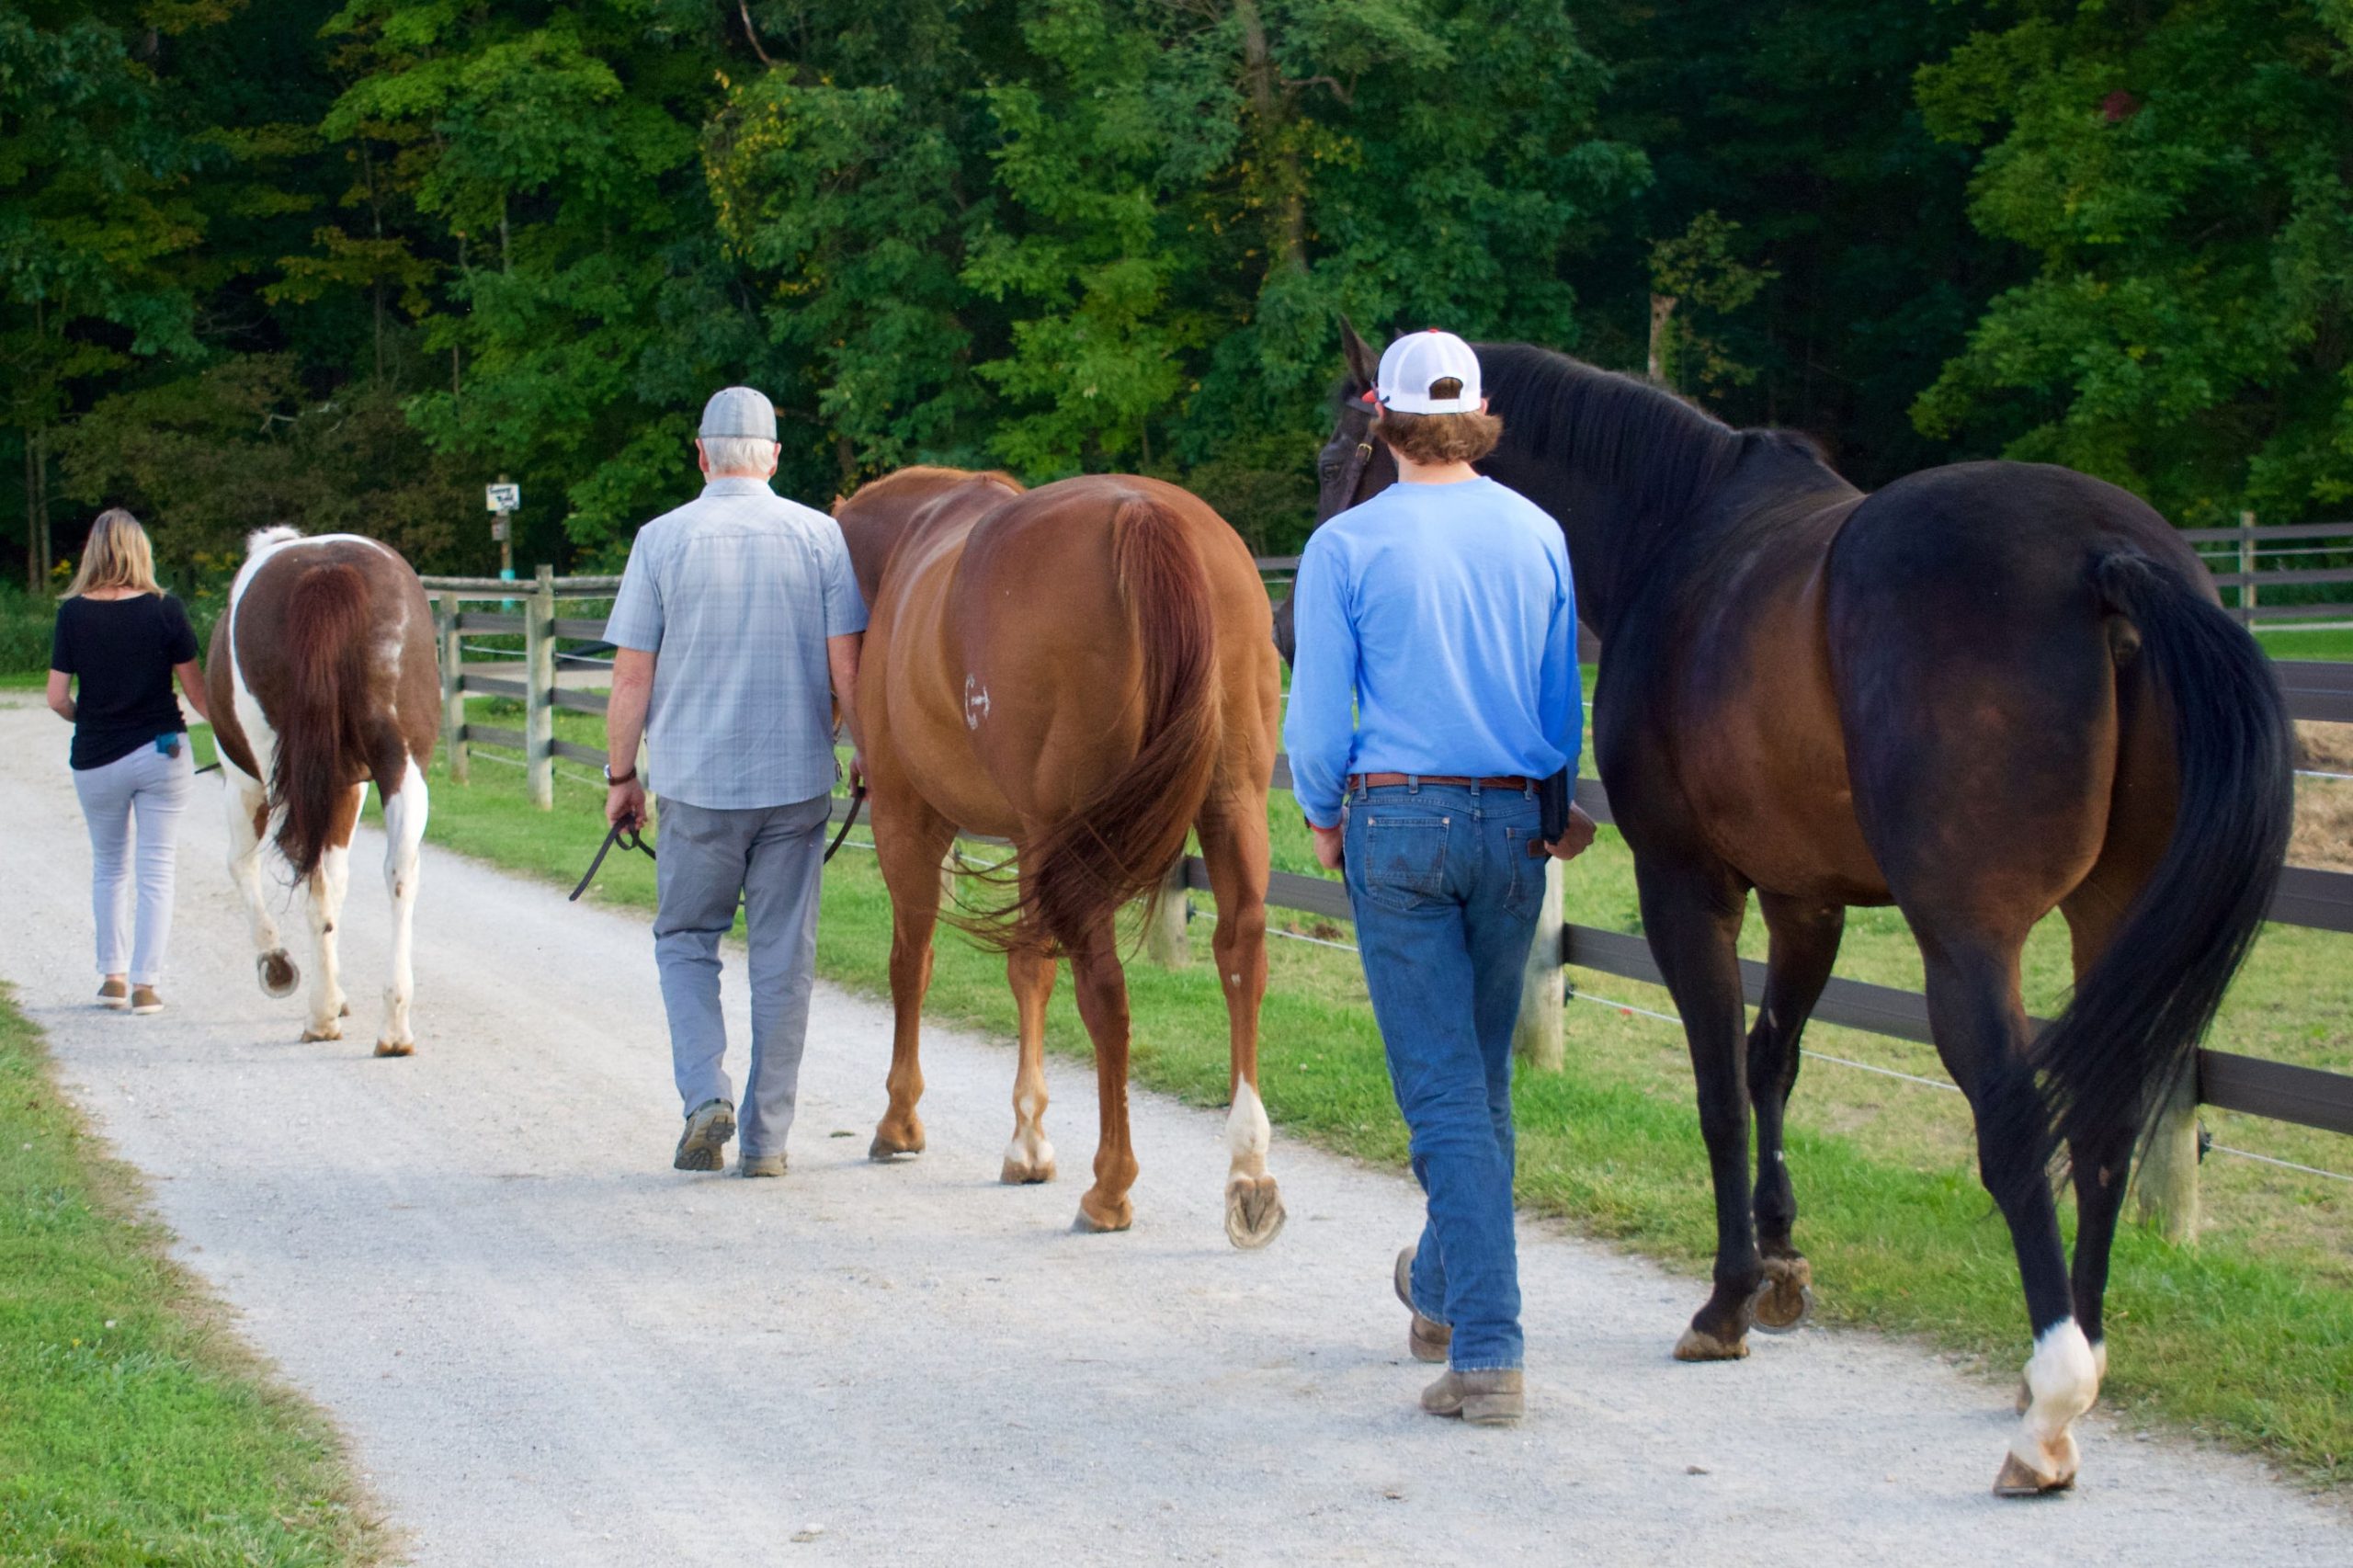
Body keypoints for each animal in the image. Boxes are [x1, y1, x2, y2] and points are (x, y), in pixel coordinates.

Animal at [207, 525, 442, 1050]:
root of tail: (326, 571)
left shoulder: (243, 783)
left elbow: (241, 865)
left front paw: (278, 968)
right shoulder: (348, 789)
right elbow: (340, 878)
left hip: (283, 776)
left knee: (306, 872)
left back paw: (320, 1016)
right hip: (402, 768)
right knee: (400, 873)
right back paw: (393, 1025)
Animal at [837, 463, 1289, 1243]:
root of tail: (1144, 515)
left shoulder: (909, 823)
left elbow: (911, 964)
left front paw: (900, 1121)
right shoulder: (1030, 837)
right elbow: (1030, 972)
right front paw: (1027, 1142)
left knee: (1105, 989)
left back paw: (1110, 1186)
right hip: (1230, 803)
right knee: (1241, 953)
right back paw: (1249, 1168)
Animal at [1299, 327, 2287, 1487]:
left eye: (1335, 456)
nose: (1289, 621)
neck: (1678, 528)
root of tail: (2106, 557)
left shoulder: (1686, 885)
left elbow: (1721, 1087)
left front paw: (1725, 1298)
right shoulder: (1806, 899)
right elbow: (1773, 1059)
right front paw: (1777, 1259)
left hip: (1968, 937)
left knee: (2013, 1120)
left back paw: (2049, 1401)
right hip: (2109, 918)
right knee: (2103, 1123)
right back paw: (2077, 1350)